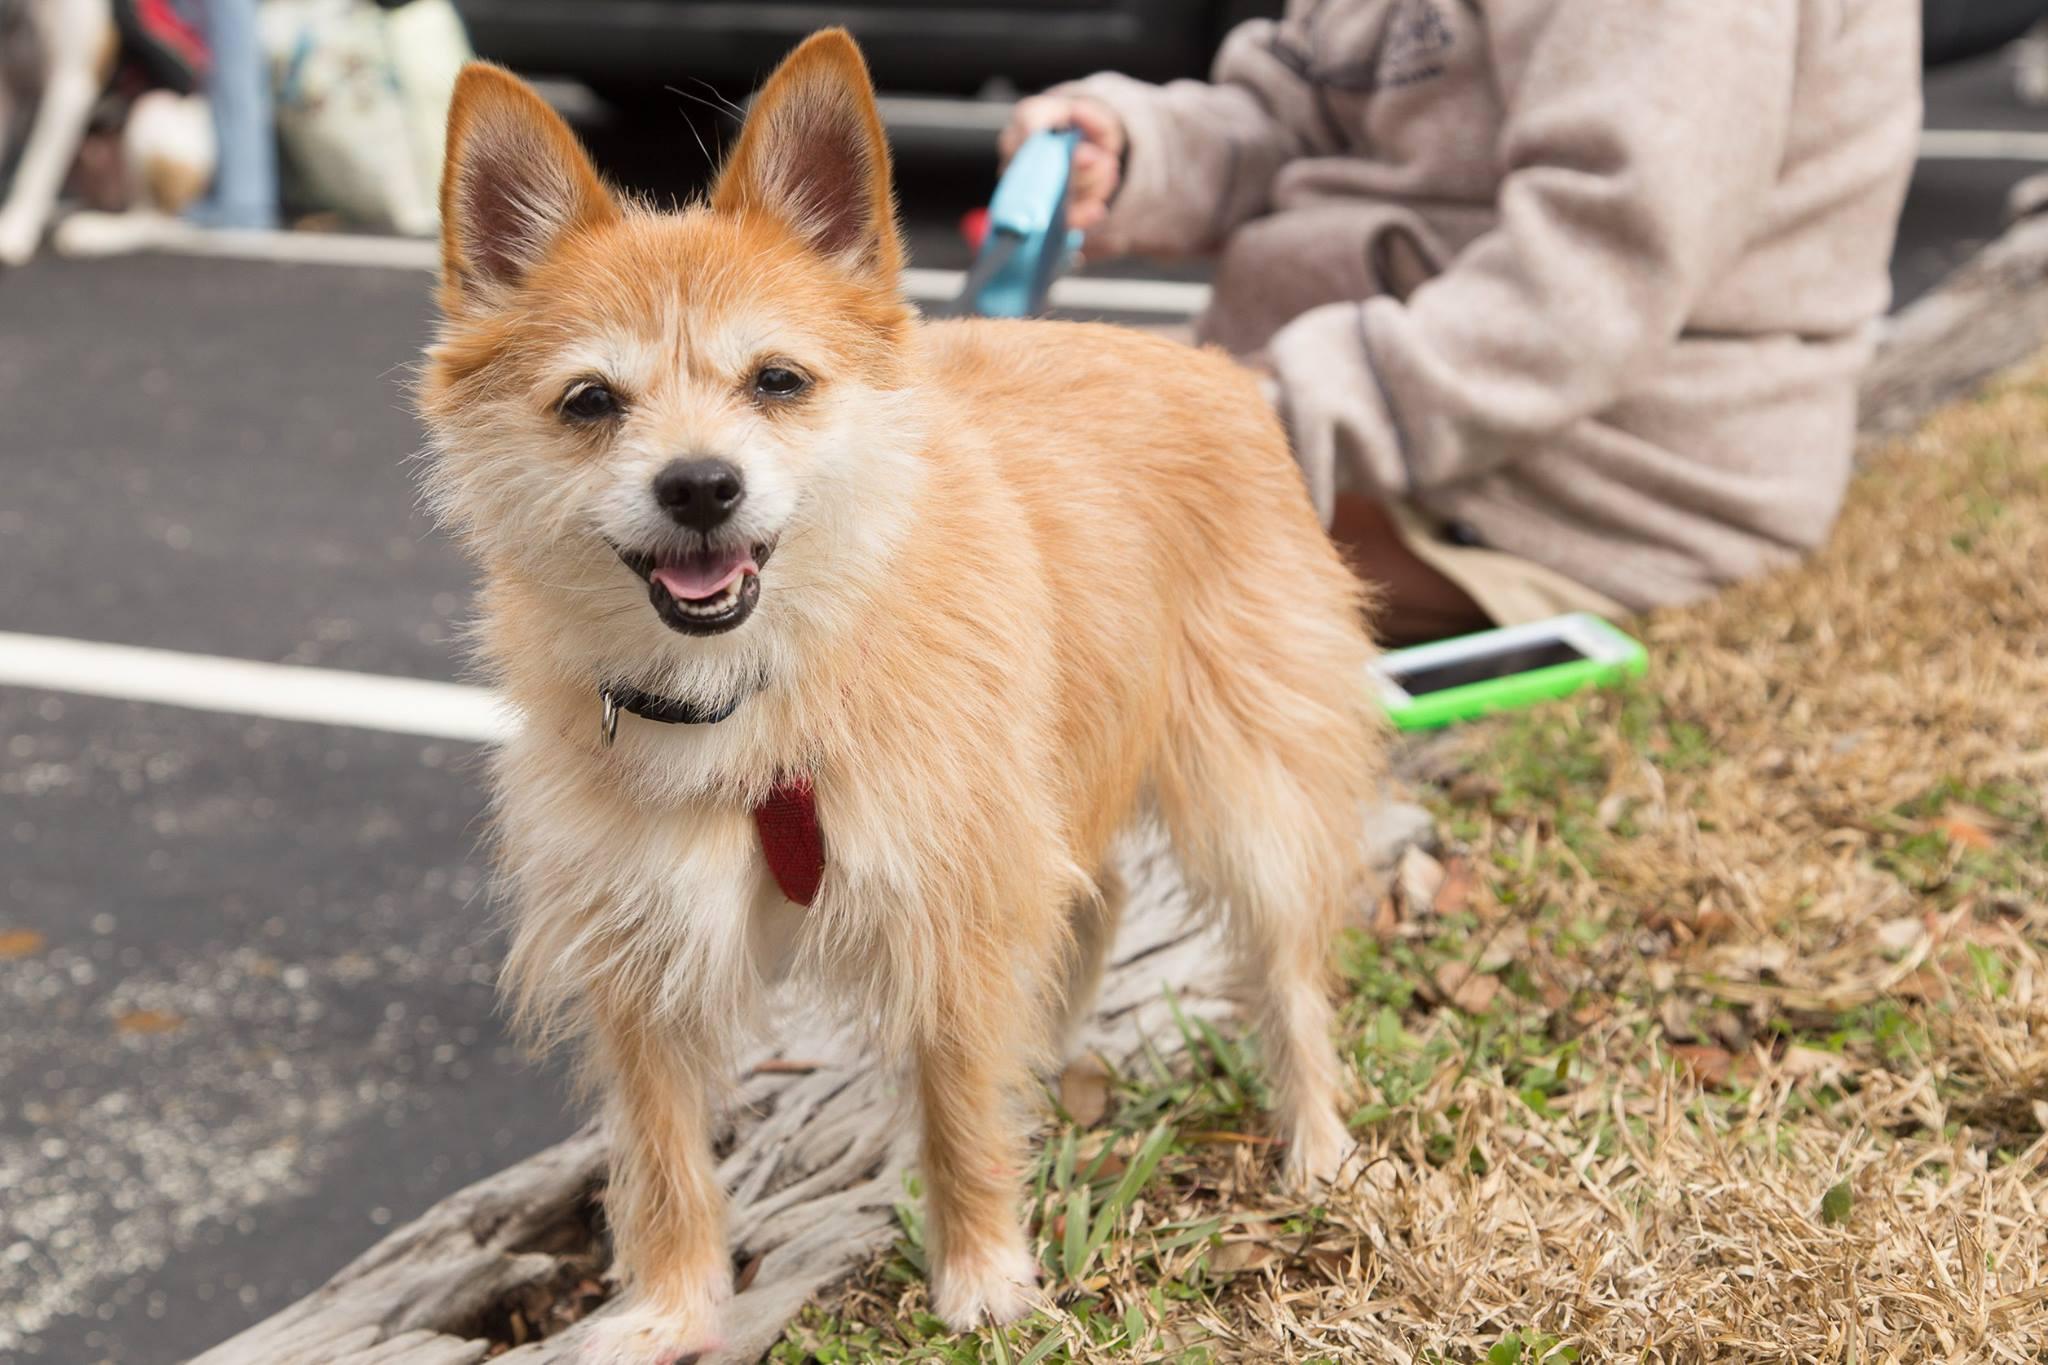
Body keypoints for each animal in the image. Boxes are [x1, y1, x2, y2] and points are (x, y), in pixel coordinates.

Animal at [0, 0, 216, 268]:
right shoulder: (6, 83)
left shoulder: (70, 84)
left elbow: (36, 170)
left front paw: (12, 231)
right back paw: (64, 214)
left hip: (152, 110)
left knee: (151, 221)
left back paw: (94, 233)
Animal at [413, 29, 1384, 1358]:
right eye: (590, 403)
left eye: (776, 381)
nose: (699, 486)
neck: (756, 691)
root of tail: (1204, 365)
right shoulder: (640, 945)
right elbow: (660, 1152)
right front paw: (669, 1307)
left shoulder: (955, 899)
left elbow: (963, 1106)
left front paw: (980, 1273)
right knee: (1092, 902)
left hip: (1250, 799)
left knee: (1282, 975)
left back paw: (1315, 1142)